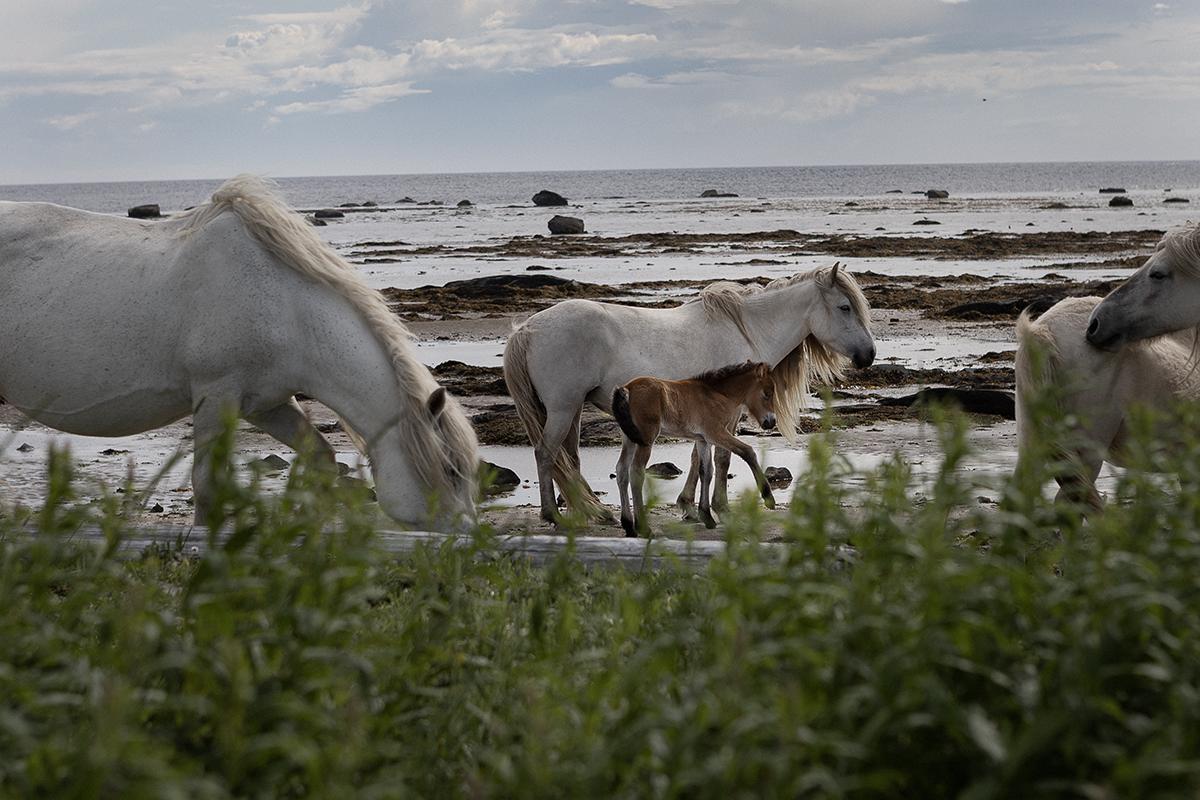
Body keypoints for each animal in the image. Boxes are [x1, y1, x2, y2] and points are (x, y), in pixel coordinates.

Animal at [0, 175, 478, 530]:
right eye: (452, 470)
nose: (466, 538)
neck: (286, 304)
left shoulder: (266, 404)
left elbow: (321, 458)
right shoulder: (216, 395)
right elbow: (207, 484)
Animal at [612, 361, 778, 537]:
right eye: (767, 393)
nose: (771, 422)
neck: (716, 393)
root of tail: (627, 388)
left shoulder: (703, 440)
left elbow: (706, 472)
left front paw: (707, 517)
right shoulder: (716, 433)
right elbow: (748, 451)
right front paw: (768, 497)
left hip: (629, 438)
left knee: (621, 470)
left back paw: (628, 526)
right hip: (646, 438)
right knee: (636, 472)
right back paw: (643, 528)